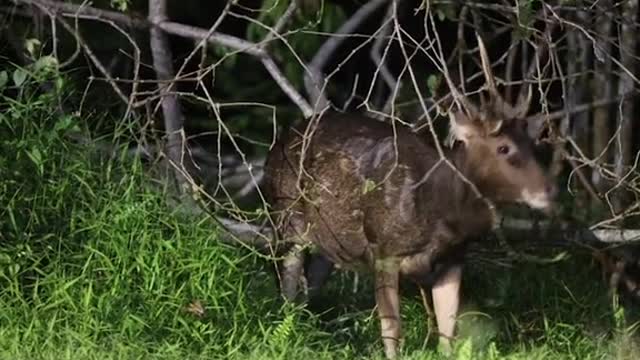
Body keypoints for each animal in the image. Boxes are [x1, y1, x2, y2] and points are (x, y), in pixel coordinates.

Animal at [262, 35, 556, 358]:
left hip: (330, 242)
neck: (442, 213)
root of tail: (278, 143)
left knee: (310, 286)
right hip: (285, 220)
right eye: (503, 148)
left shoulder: (454, 258)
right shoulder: (382, 249)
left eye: (534, 144)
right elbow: (392, 331)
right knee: (286, 286)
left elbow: (448, 332)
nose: (548, 190)